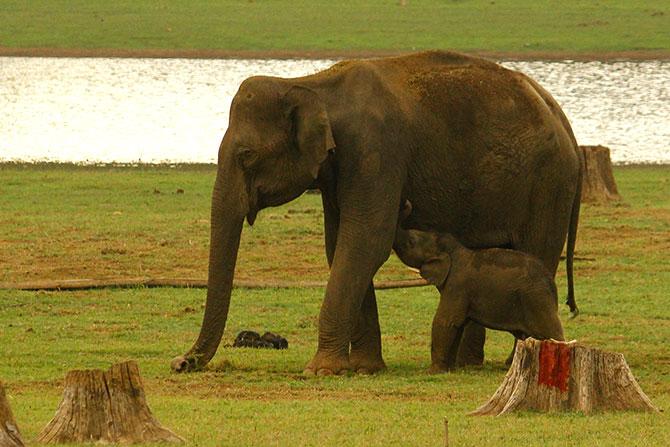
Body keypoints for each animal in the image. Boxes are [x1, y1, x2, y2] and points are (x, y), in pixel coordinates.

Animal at [396, 201, 564, 372]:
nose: (406, 203)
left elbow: (446, 321)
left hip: (537, 300)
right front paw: (450, 370)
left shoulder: (458, 285)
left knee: (553, 332)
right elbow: (458, 324)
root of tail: (551, 283)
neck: (456, 250)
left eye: (411, 242)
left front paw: (433, 372)